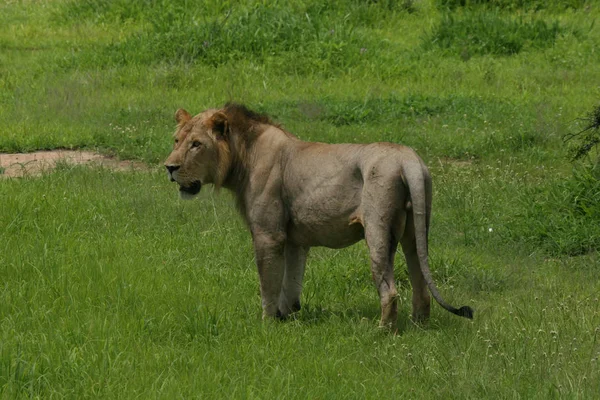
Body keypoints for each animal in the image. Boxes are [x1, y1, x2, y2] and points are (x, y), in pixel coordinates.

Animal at [164, 103, 474, 328]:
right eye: (177, 140)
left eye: (196, 144)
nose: (169, 167)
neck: (243, 157)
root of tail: (408, 158)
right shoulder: (295, 239)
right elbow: (291, 282)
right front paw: (287, 317)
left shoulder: (268, 234)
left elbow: (269, 283)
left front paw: (266, 324)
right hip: (415, 231)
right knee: (420, 281)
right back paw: (419, 325)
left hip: (377, 229)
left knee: (390, 290)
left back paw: (381, 331)